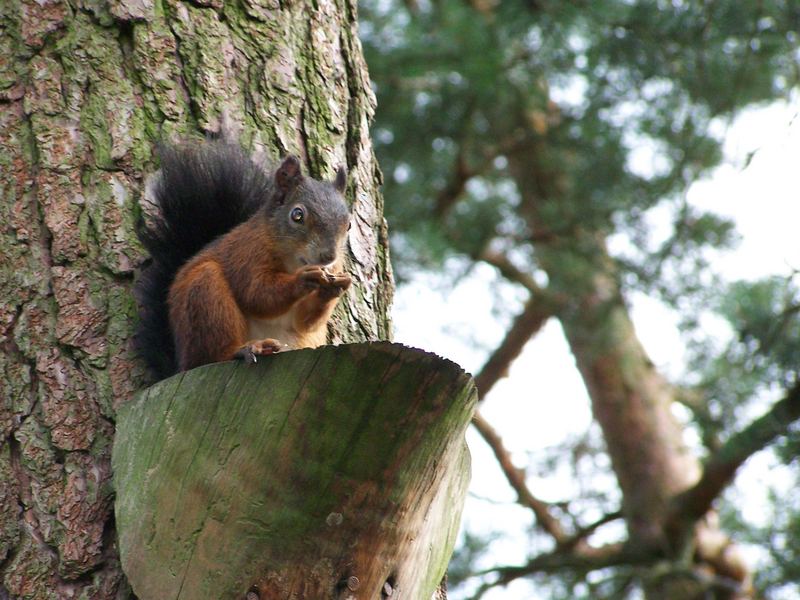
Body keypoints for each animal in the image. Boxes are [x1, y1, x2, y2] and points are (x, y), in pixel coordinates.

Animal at [134, 138, 350, 380]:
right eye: (297, 215)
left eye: (349, 225)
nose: (329, 256)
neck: (294, 262)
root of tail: (182, 365)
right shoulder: (246, 253)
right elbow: (256, 293)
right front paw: (302, 280)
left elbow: (304, 322)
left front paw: (334, 287)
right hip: (206, 297)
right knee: (213, 354)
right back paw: (246, 349)